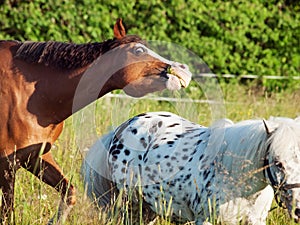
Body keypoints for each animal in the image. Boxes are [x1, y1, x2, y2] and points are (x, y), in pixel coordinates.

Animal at [0, 18, 192, 222]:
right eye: (138, 51)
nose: (183, 69)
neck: (30, 95)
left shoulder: (36, 156)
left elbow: (69, 193)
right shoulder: (7, 165)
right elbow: (6, 214)